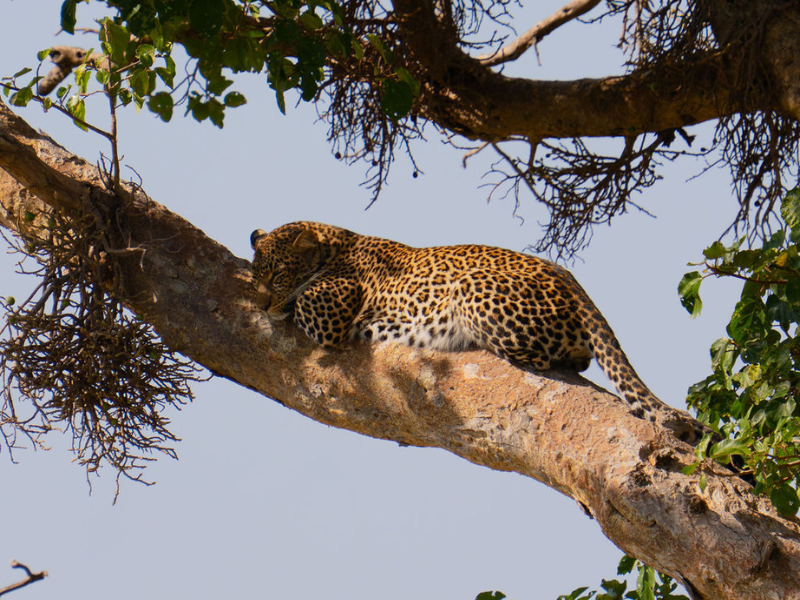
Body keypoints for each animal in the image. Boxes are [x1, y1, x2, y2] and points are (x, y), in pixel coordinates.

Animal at [250, 221, 664, 424]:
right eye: (257, 274)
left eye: (280, 275)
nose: (262, 302)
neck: (334, 244)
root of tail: (574, 283)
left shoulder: (331, 311)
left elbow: (305, 299)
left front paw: (286, 303)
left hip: (471, 287)